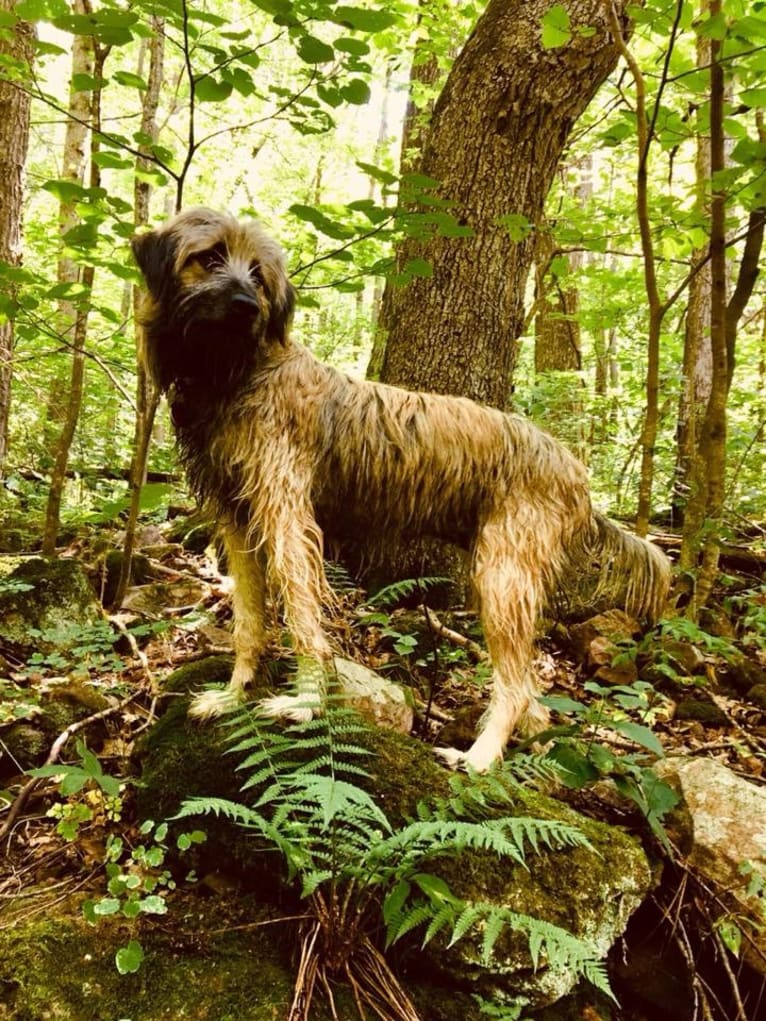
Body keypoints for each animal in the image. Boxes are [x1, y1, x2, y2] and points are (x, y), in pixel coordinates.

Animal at [131, 205, 669, 767]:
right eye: (210, 257)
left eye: (258, 274)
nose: (245, 306)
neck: (239, 372)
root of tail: (573, 468)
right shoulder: (238, 521)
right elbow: (248, 623)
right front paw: (233, 695)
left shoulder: (286, 517)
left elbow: (302, 618)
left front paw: (305, 704)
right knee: (532, 698)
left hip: (502, 577)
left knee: (517, 688)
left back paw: (478, 760)